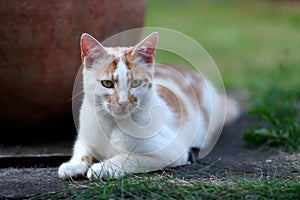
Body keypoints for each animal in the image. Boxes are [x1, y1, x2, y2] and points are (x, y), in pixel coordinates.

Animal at [58, 31, 239, 180]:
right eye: (107, 83)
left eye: (135, 83)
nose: (123, 102)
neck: (112, 125)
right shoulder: (85, 135)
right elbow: (82, 149)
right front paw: (73, 165)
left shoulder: (172, 151)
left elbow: (131, 158)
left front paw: (103, 168)